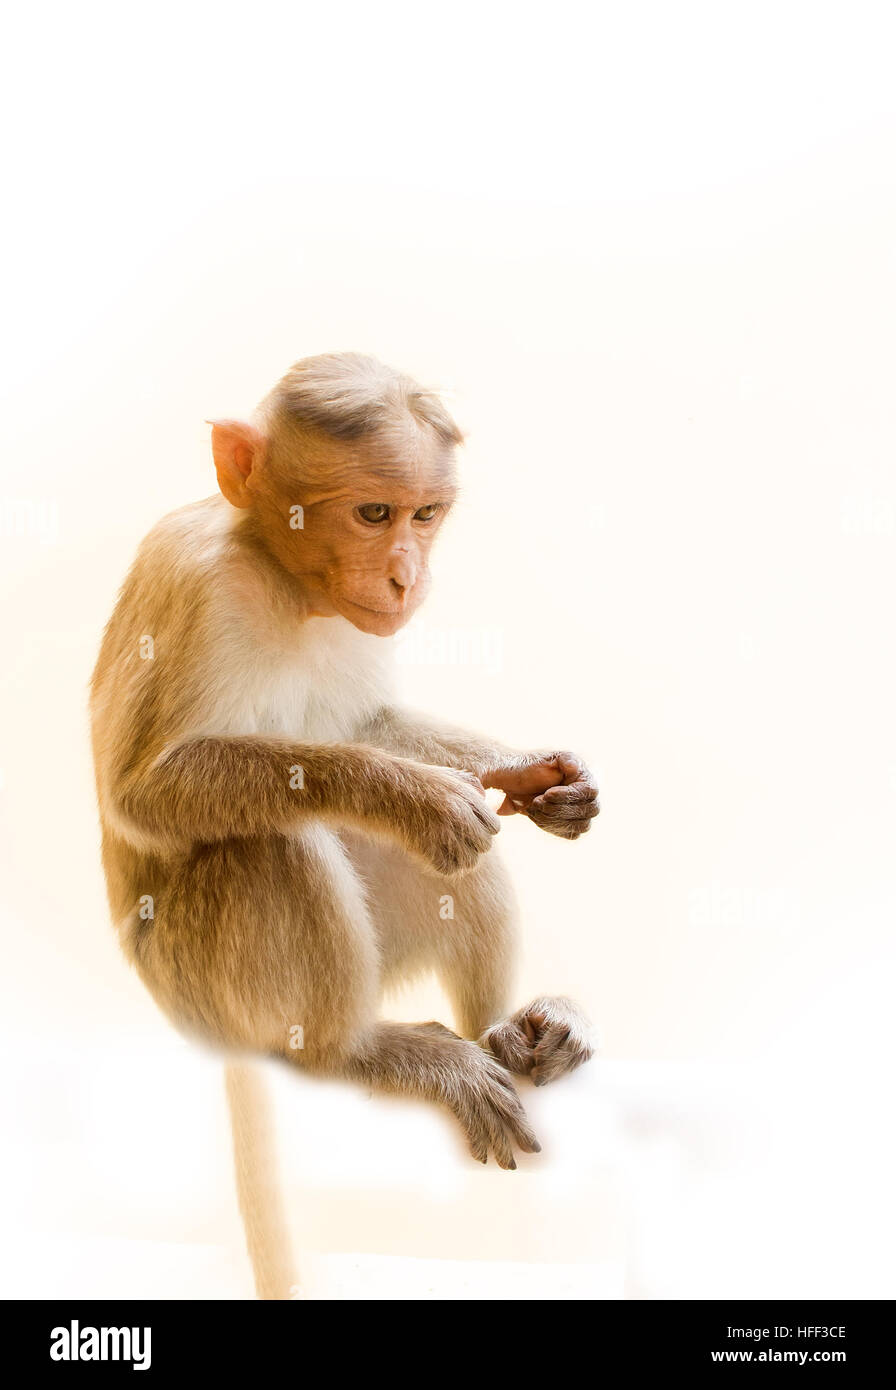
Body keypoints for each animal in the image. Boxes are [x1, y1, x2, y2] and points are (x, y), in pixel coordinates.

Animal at [88, 353, 600, 1295]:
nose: (406, 575)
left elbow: (368, 723)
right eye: (372, 514)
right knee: (273, 840)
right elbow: (146, 791)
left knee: (446, 866)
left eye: (424, 514)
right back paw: (352, 1053)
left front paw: (530, 774)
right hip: (197, 989)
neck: (286, 585)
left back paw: (510, 1032)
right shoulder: (197, 583)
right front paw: (413, 795)